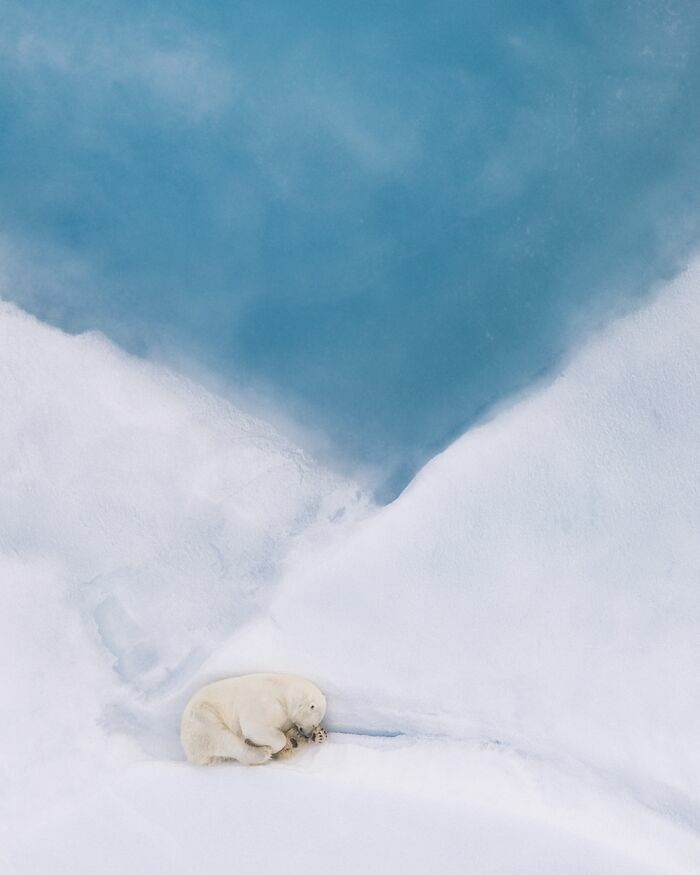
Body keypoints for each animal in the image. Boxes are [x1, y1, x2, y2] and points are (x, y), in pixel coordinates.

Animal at [180, 673, 327, 766]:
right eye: (313, 723)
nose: (308, 734)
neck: (282, 691)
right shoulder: (263, 702)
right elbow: (255, 728)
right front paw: (276, 746)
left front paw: (319, 734)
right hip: (204, 719)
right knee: (224, 738)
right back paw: (263, 752)